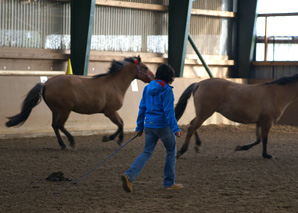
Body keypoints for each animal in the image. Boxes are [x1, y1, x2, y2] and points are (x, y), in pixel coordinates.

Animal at [6, 56, 155, 150]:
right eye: (145, 67)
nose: (153, 77)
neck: (115, 84)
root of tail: (46, 83)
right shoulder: (110, 112)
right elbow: (120, 124)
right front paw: (112, 138)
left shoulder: (112, 112)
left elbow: (121, 123)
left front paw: (114, 138)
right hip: (65, 110)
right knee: (59, 125)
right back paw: (71, 141)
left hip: (56, 110)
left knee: (55, 125)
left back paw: (63, 144)